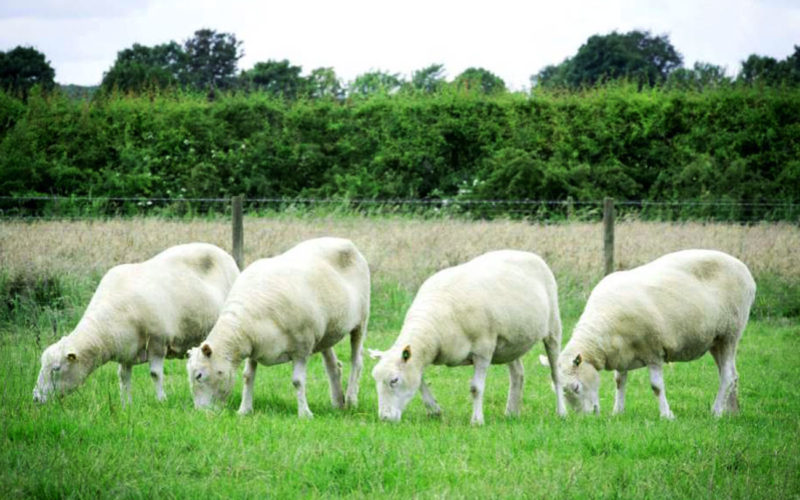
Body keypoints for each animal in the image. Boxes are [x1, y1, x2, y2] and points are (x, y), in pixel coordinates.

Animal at [33, 243, 241, 406]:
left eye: (56, 369)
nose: (36, 399)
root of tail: (224, 254)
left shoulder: (157, 341)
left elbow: (155, 374)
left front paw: (161, 400)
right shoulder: (126, 350)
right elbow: (123, 378)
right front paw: (126, 404)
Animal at [188, 236, 372, 416]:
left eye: (199, 376)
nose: (201, 412)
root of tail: (345, 241)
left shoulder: (302, 347)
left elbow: (297, 381)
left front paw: (304, 414)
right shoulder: (254, 345)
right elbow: (247, 376)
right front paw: (244, 410)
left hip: (361, 320)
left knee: (356, 361)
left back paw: (351, 400)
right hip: (325, 334)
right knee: (334, 366)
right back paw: (337, 402)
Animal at [368, 250, 564, 426]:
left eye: (394, 380)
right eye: (375, 379)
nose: (384, 418)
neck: (434, 326)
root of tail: (528, 254)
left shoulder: (483, 350)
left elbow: (476, 388)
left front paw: (477, 421)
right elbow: (420, 380)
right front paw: (434, 410)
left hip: (553, 327)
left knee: (555, 374)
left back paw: (561, 413)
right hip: (510, 344)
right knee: (518, 374)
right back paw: (511, 413)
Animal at [552, 249, 752, 418]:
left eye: (576, 387)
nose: (585, 418)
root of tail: (743, 268)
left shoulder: (653, 351)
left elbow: (656, 387)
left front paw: (667, 415)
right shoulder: (621, 353)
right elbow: (619, 381)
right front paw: (618, 412)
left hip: (730, 333)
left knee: (727, 375)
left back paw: (716, 412)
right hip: (715, 340)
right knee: (731, 374)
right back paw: (732, 412)